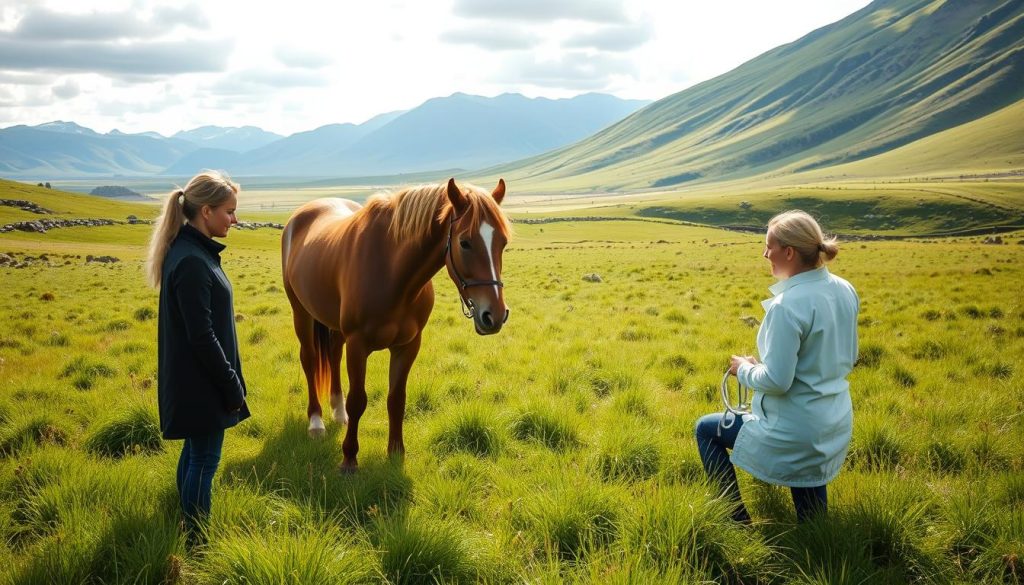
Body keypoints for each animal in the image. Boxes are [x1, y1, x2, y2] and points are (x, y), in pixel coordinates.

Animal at [282, 177, 509, 471]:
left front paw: (396, 453)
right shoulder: (358, 345)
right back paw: (316, 422)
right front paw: (349, 458)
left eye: (503, 242)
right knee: (309, 360)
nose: (494, 315)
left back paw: (338, 412)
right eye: (465, 242)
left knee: (332, 354)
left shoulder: (408, 345)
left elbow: (396, 399)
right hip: (302, 314)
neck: (392, 273)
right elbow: (359, 400)